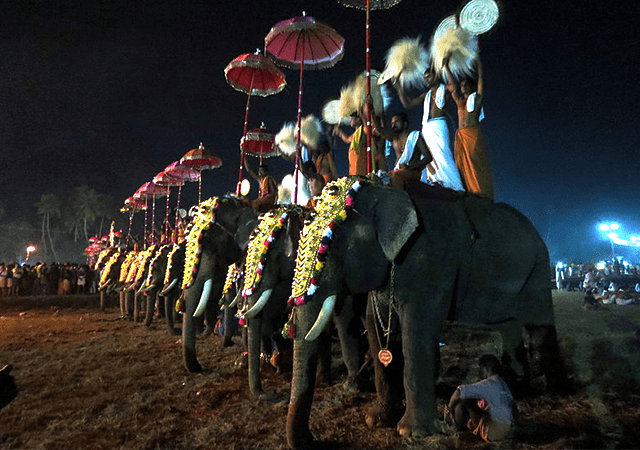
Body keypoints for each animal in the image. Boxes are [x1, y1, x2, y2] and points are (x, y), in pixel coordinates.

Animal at [286, 178, 568, 448]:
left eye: (329, 247)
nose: (312, 440)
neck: (383, 192)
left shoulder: (428, 263)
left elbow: (417, 332)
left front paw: (411, 433)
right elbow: (376, 329)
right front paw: (375, 420)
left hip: (540, 266)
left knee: (539, 325)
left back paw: (556, 392)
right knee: (508, 327)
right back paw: (521, 388)